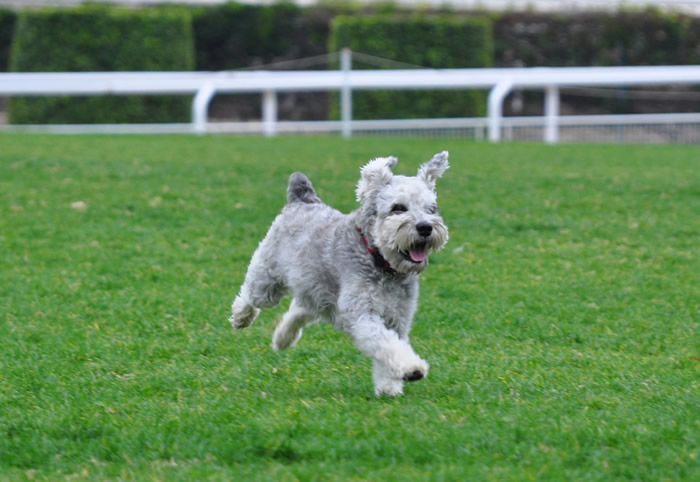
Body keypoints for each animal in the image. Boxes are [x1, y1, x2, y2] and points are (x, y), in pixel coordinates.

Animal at [228, 152, 448, 396]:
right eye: (398, 208)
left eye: (432, 209)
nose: (425, 227)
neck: (381, 262)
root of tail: (302, 200)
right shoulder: (361, 315)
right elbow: (386, 344)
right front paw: (411, 367)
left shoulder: (398, 318)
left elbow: (388, 349)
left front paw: (388, 386)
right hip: (268, 282)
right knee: (250, 293)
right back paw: (241, 316)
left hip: (317, 293)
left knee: (299, 308)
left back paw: (283, 338)